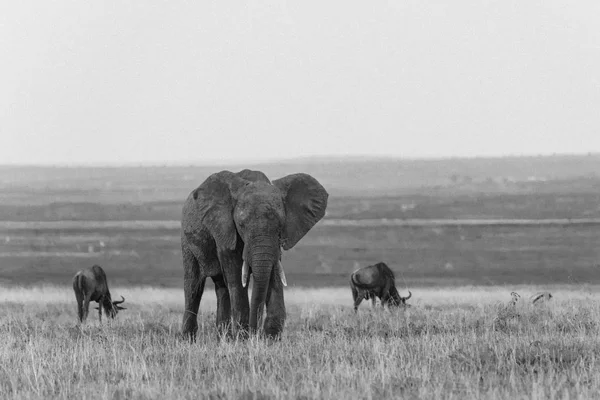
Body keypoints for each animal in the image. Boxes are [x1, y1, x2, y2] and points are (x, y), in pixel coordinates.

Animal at [180, 169, 328, 340]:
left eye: (280, 225)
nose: (255, 332)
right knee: (194, 287)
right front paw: (244, 339)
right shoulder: (226, 230)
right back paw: (188, 340)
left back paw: (224, 339)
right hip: (187, 242)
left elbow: (273, 273)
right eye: (241, 225)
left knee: (222, 288)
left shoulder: (275, 244)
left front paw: (270, 339)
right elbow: (236, 276)